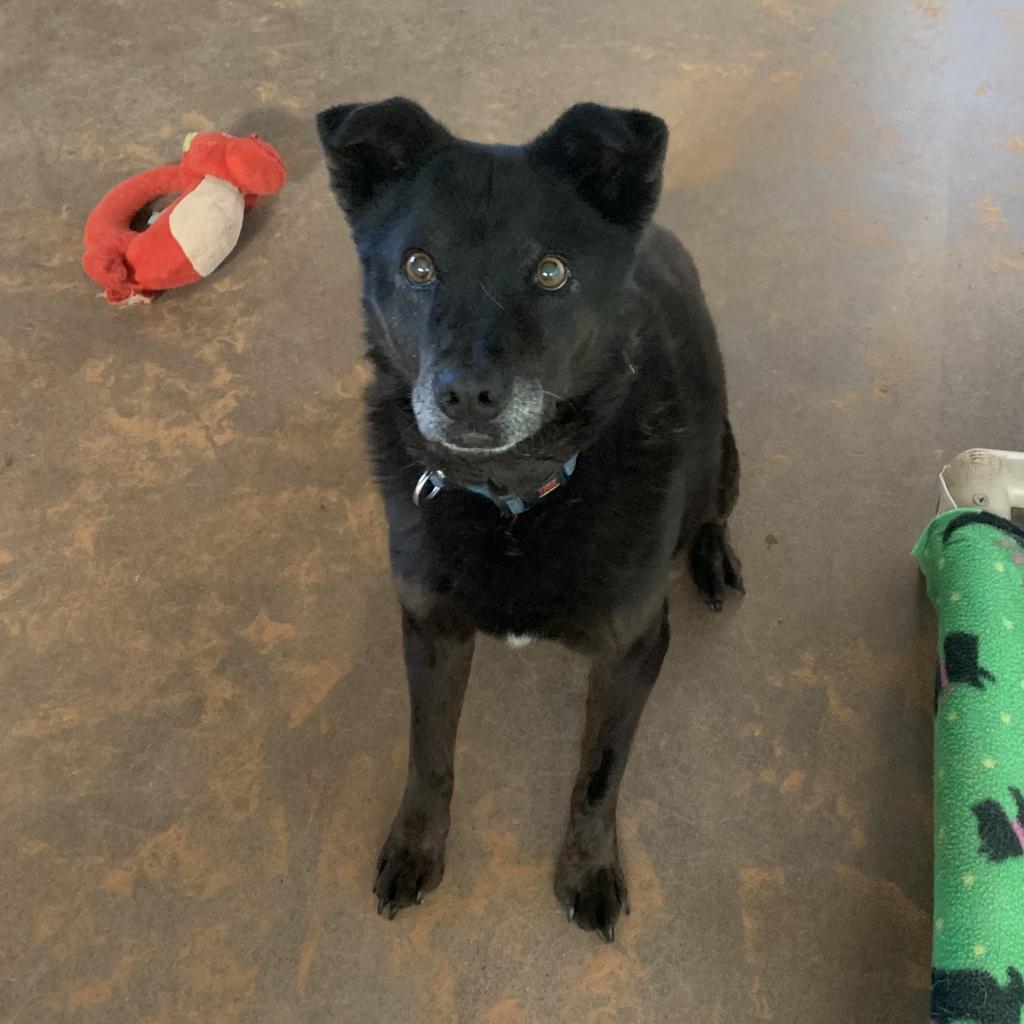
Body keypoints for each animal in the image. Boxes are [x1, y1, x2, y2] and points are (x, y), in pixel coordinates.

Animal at [315, 99, 741, 937]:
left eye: (550, 272)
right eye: (418, 268)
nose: (467, 395)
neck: (515, 501)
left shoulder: (634, 648)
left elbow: (597, 774)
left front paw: (589, 869)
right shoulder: (431, 630)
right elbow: (429, 754)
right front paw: (415, 847)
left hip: (723, 452)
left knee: (715, 509)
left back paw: (713, 560)